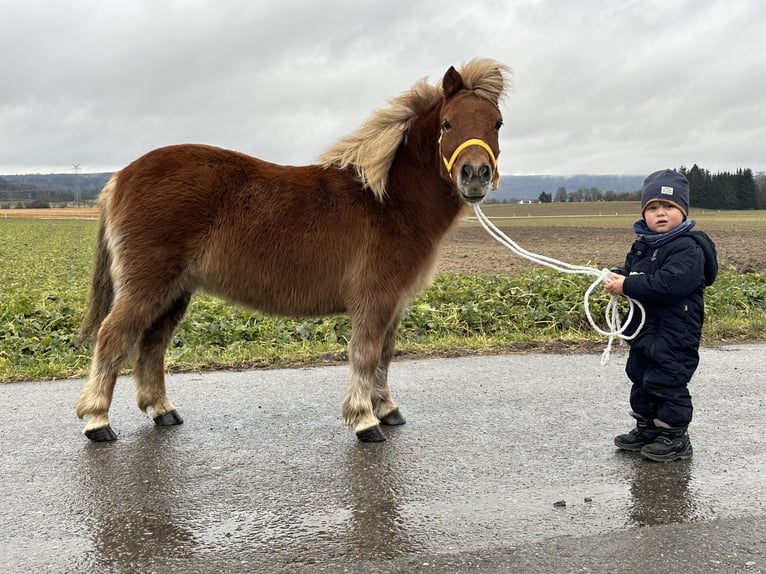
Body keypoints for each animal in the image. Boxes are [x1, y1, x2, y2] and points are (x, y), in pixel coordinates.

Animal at [75, 58, 512, 444]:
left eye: (497, 123)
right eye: (447, 123)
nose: (475, 176)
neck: (387, 201)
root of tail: (121, 177)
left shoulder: (395, 303)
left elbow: (385, 355)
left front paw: (387, 409)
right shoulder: (374, 300)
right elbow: (366, 354)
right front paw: (365, 420)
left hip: (175, 292)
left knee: (152, 344)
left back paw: (162, 410)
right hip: (148, 285)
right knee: (113, 338)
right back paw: (97, 421)